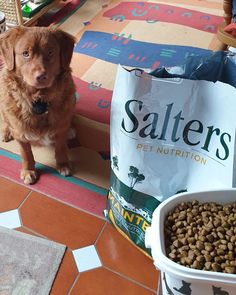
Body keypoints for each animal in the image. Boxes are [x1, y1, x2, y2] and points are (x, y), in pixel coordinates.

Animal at [0, 27, 76, 185]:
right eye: (25, 53)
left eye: (51, 52)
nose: (41, 76)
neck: (39, 99)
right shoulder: (20, 135)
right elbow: (26, 154)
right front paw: (28, 171)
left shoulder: (60, 130)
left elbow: (61, 147)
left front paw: (63, 164)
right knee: (5, 120)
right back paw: (5, 132)